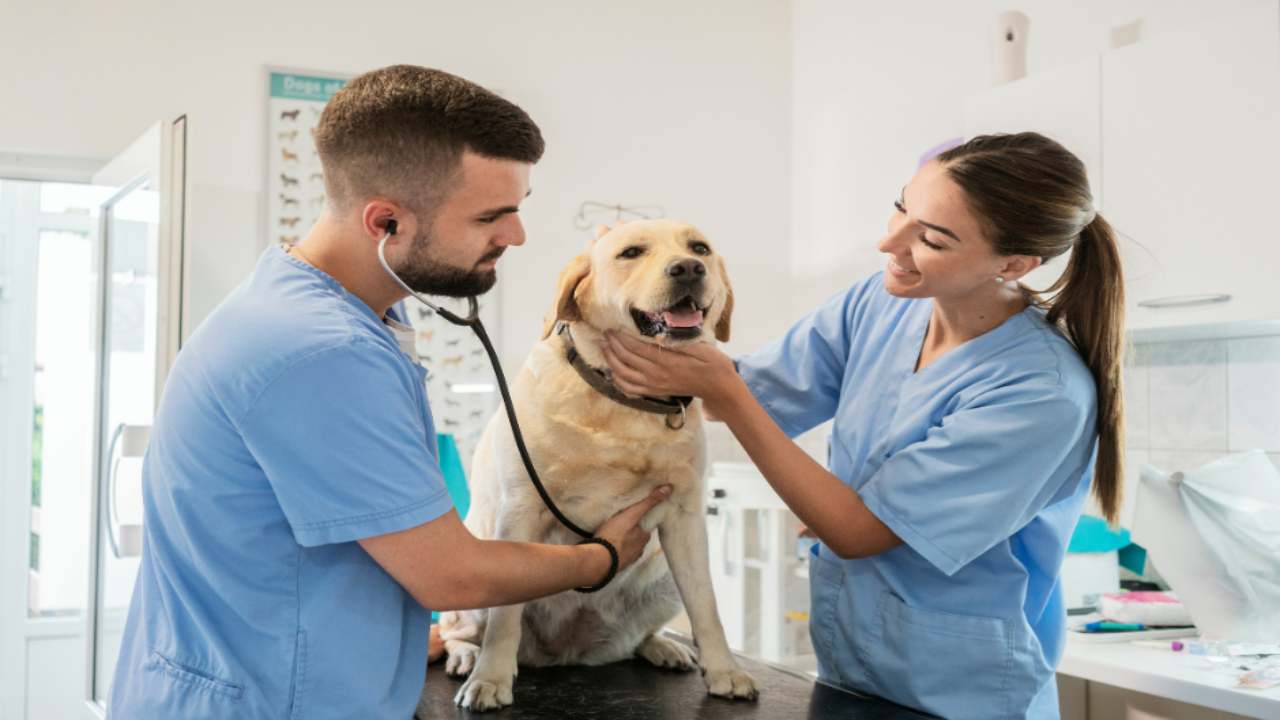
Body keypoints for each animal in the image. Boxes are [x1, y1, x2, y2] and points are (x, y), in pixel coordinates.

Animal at [440, 217, 757, 707]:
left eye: (699, 248)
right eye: (631, 252)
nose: (688, 268)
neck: (623, 403)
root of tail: (560, 653)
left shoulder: (685, 516)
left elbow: (707, 604)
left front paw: (725, 670)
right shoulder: (520, 509)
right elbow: (504, 619)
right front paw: (490, 679)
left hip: (662, 577)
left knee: (638, 636)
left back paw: (662, 647)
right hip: (473, 575)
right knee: (457, 629)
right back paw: (466, 656)